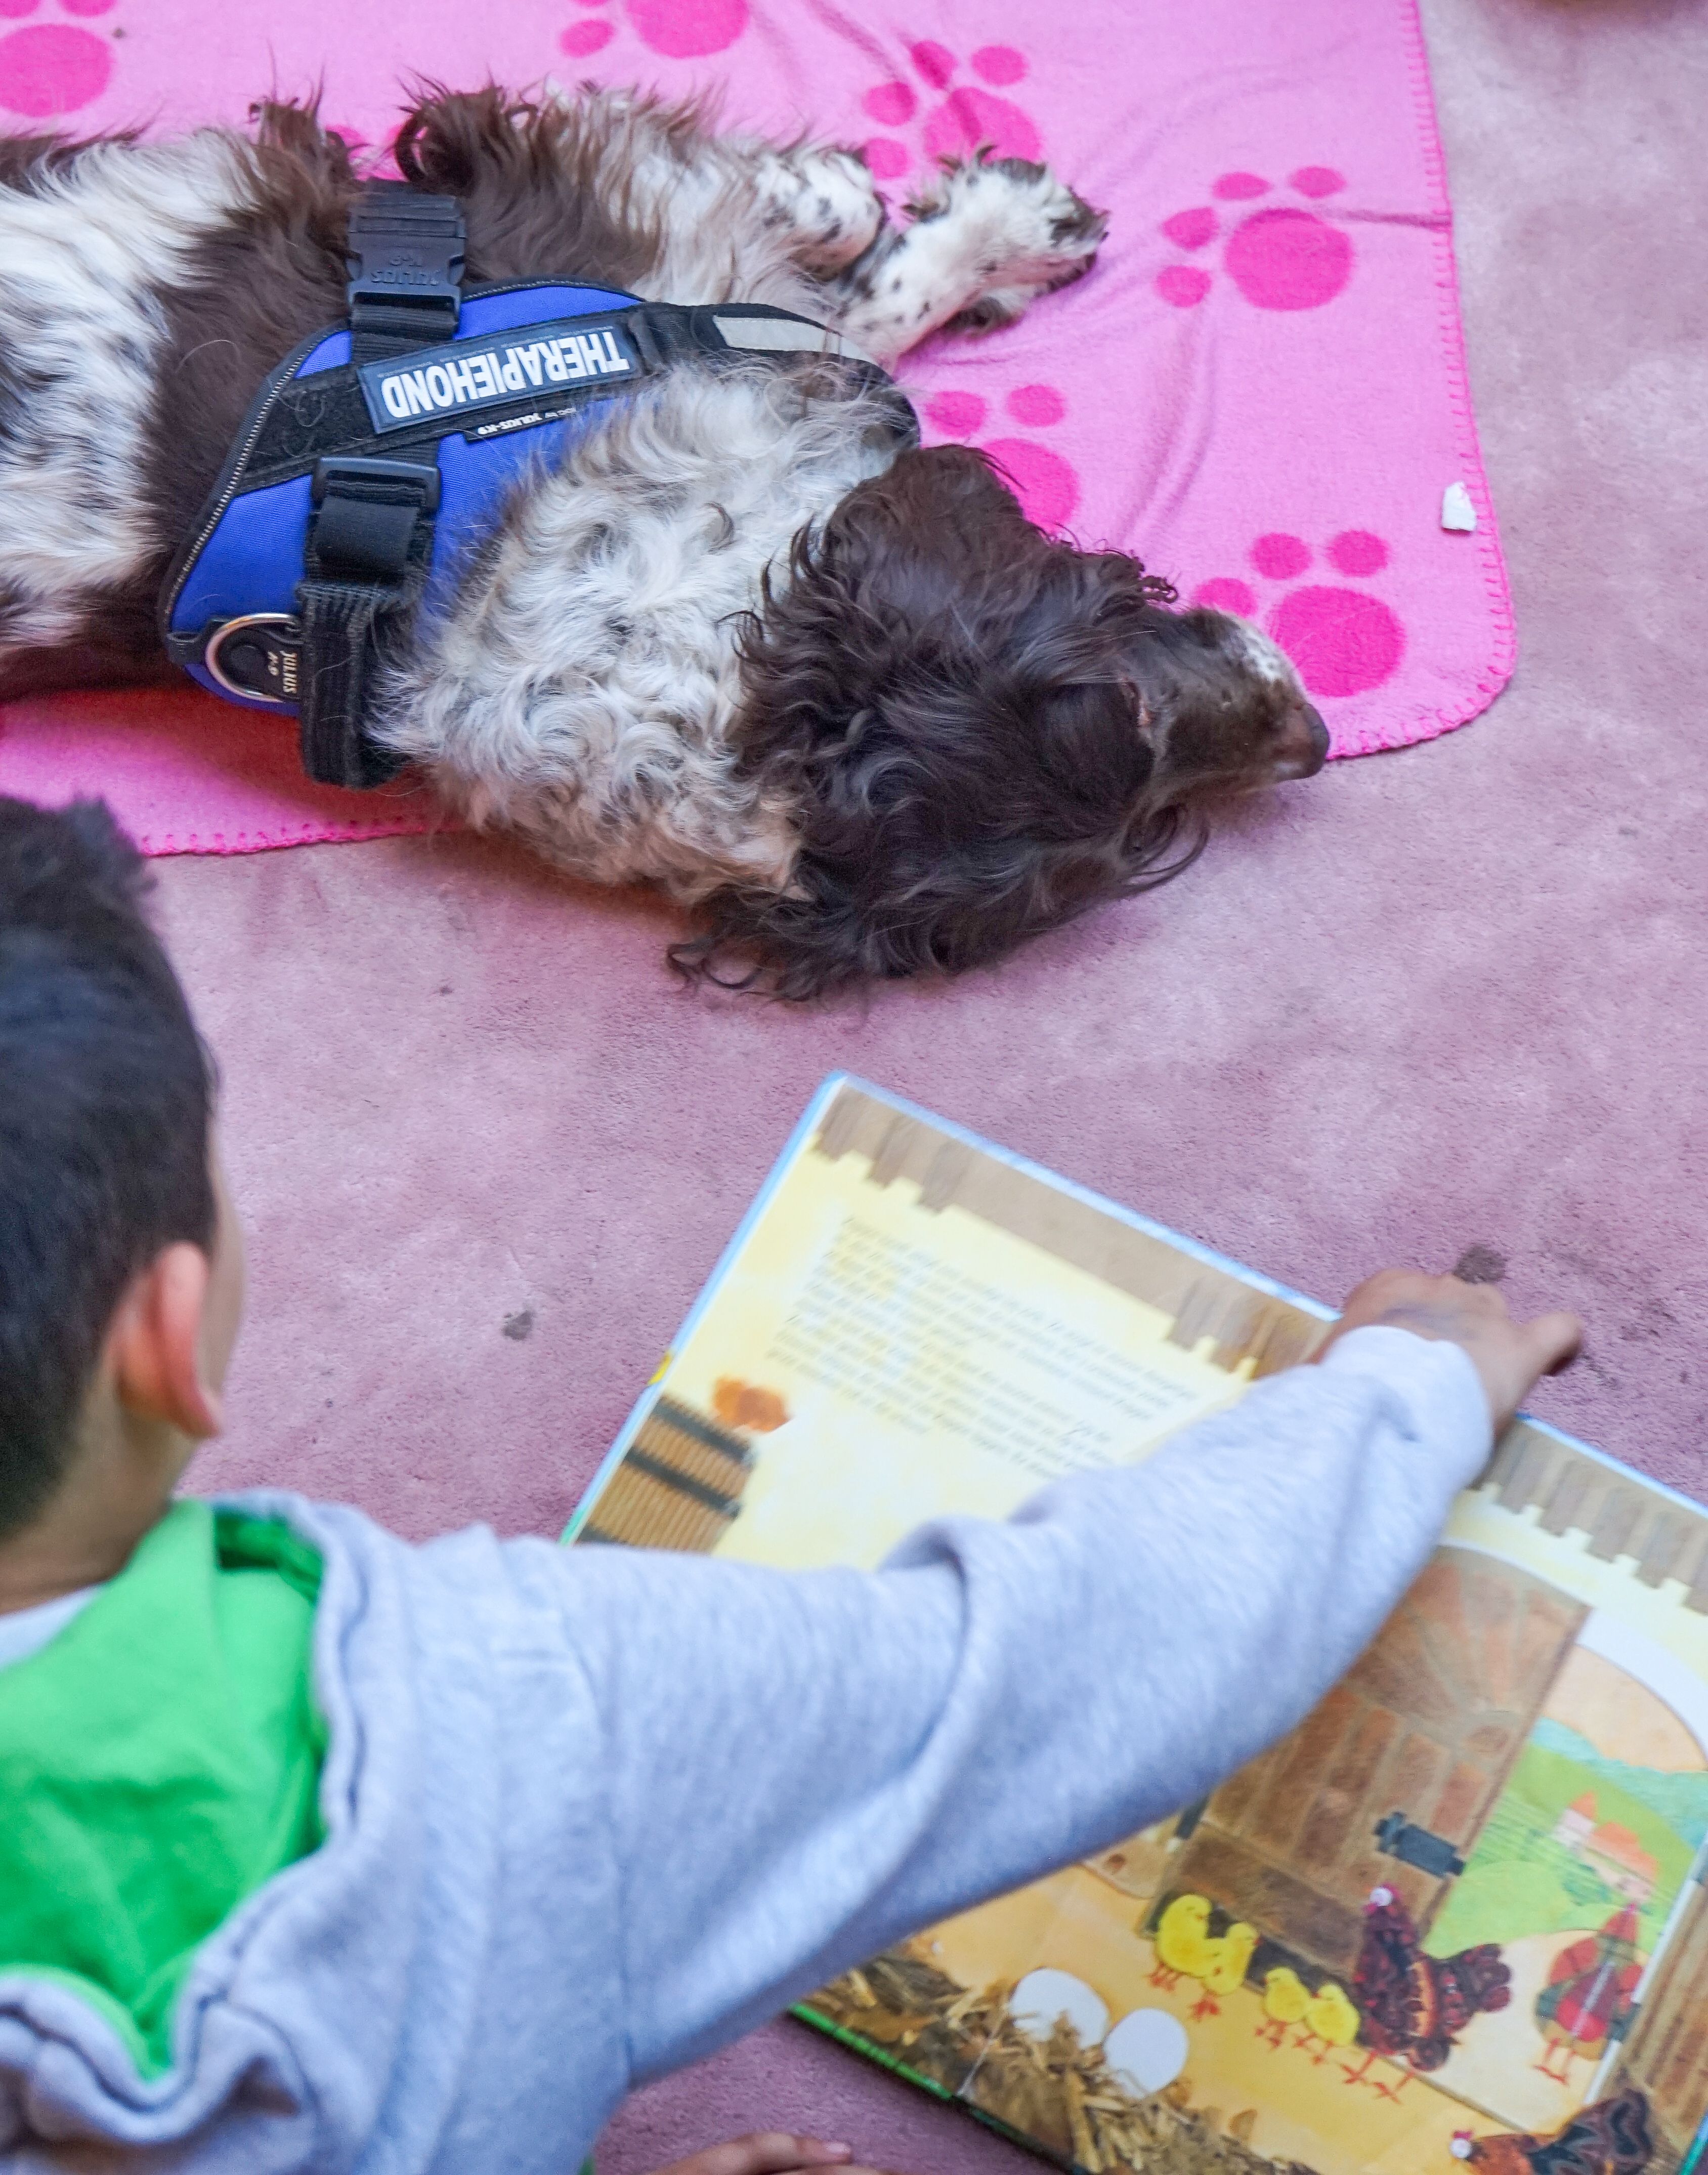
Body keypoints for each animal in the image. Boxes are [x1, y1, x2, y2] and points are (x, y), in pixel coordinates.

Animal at [0, 85, 1329, 995]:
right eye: (1135, 716)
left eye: (1142, 829)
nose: (1314, 741)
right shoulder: (595, 210)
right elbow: (836, 232)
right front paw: (980, 218)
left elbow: (849, 302)